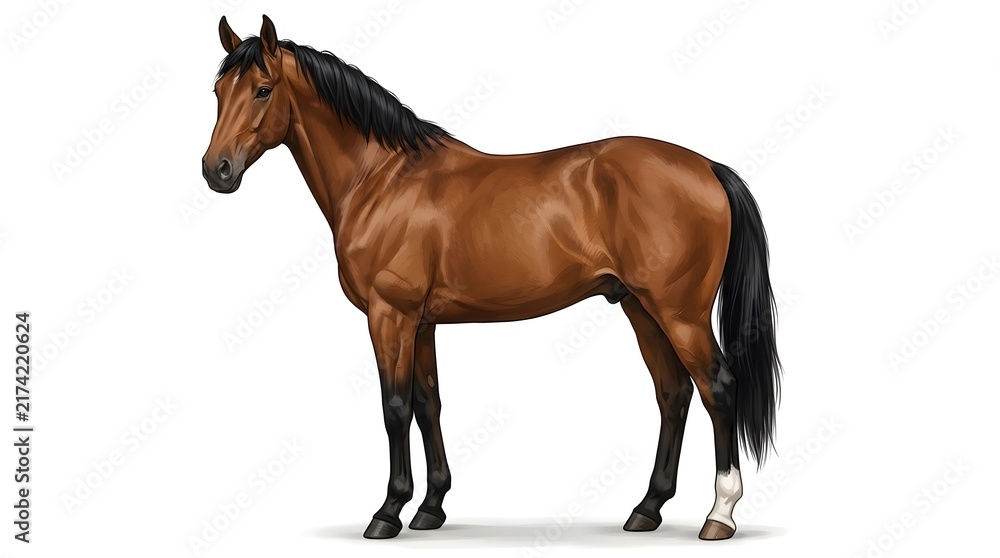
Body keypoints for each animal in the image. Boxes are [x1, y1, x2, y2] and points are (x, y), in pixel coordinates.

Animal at [203, 15, 781, 541]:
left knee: (717, 387)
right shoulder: (422, 323)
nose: (217, 170)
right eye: (217, 91)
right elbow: (428, 404)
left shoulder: (390, 316)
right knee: (673, 393)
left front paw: (388, 513)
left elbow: (394, 408)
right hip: (640, 307)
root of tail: (707, 167)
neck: (382, 179)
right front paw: (431, 508)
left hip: (678, 312)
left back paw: (719, 515)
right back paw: (647, 509)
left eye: (262, 90)